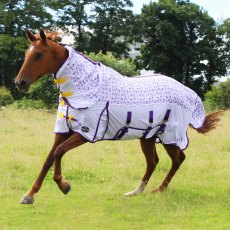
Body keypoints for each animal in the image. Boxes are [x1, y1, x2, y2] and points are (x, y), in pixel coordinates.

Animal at [14, 29, 223, 204]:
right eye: (26, 54)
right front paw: (29, 195)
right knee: (153, 162)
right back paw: (136, 192)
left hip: (170, 137)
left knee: (178, 159)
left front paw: (64, 185)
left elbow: (59, 152)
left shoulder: (86, 133)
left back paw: (158, 190)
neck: (84, 89)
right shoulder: (63, 130)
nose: (20, 83)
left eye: (39, 54)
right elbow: (49, 159)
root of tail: (189, 94)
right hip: (148, 137)